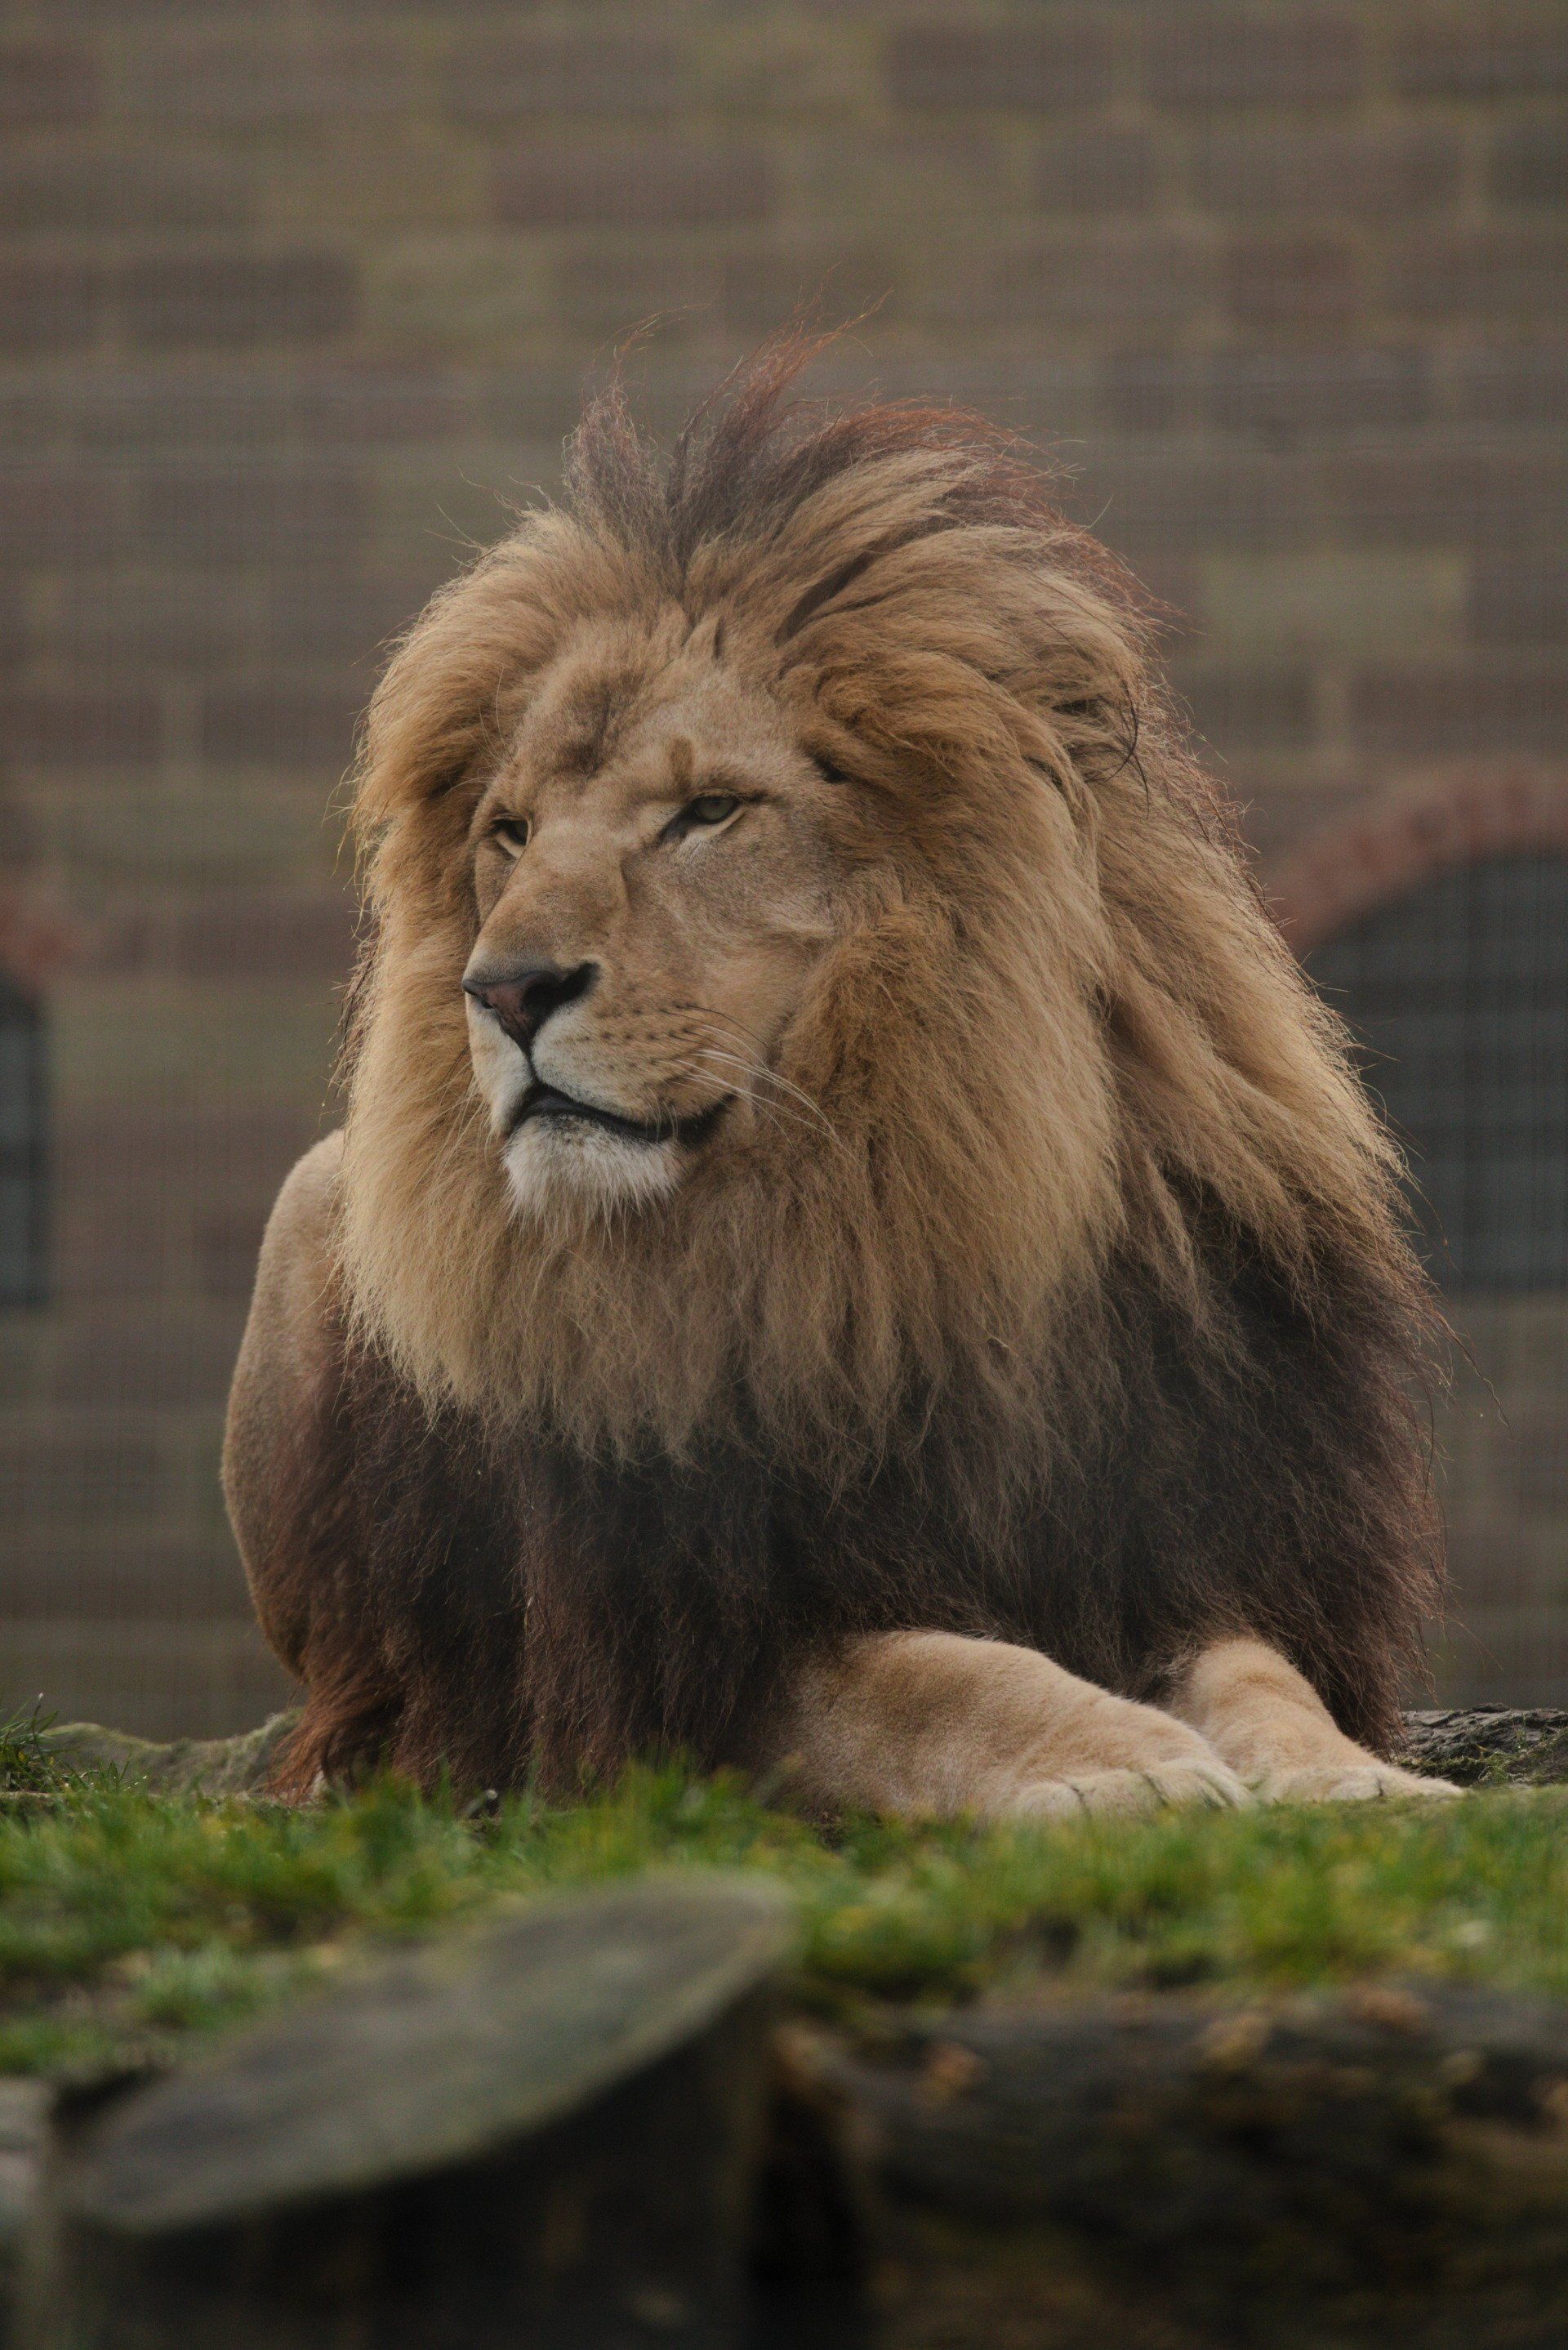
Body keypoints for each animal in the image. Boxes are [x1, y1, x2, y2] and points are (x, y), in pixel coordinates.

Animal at [225, 337, 1459, 1815]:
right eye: (509, 834)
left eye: (708, 813)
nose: (505, 989)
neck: (877, 1206)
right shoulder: (697, 1659)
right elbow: (942, 1678)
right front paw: (1130, 1764)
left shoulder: (1187, 1536)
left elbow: (1261, 1672)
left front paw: (1360, 1786)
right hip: (317, 1206)